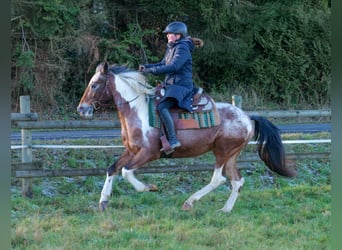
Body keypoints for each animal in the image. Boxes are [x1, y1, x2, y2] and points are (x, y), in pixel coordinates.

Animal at [77, 62, 296, 213]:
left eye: (95, 85)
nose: (81, 109)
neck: (137, 111)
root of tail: (247, 117)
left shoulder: (149, 153)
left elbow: (126, 172)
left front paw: (149, 188)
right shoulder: (131, 151)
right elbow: (113, 168)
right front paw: (103, 202)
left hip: (222, 152)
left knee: (218, 179)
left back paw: (190, 202)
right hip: (231, 155)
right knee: (237, 180)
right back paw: (225, 209)